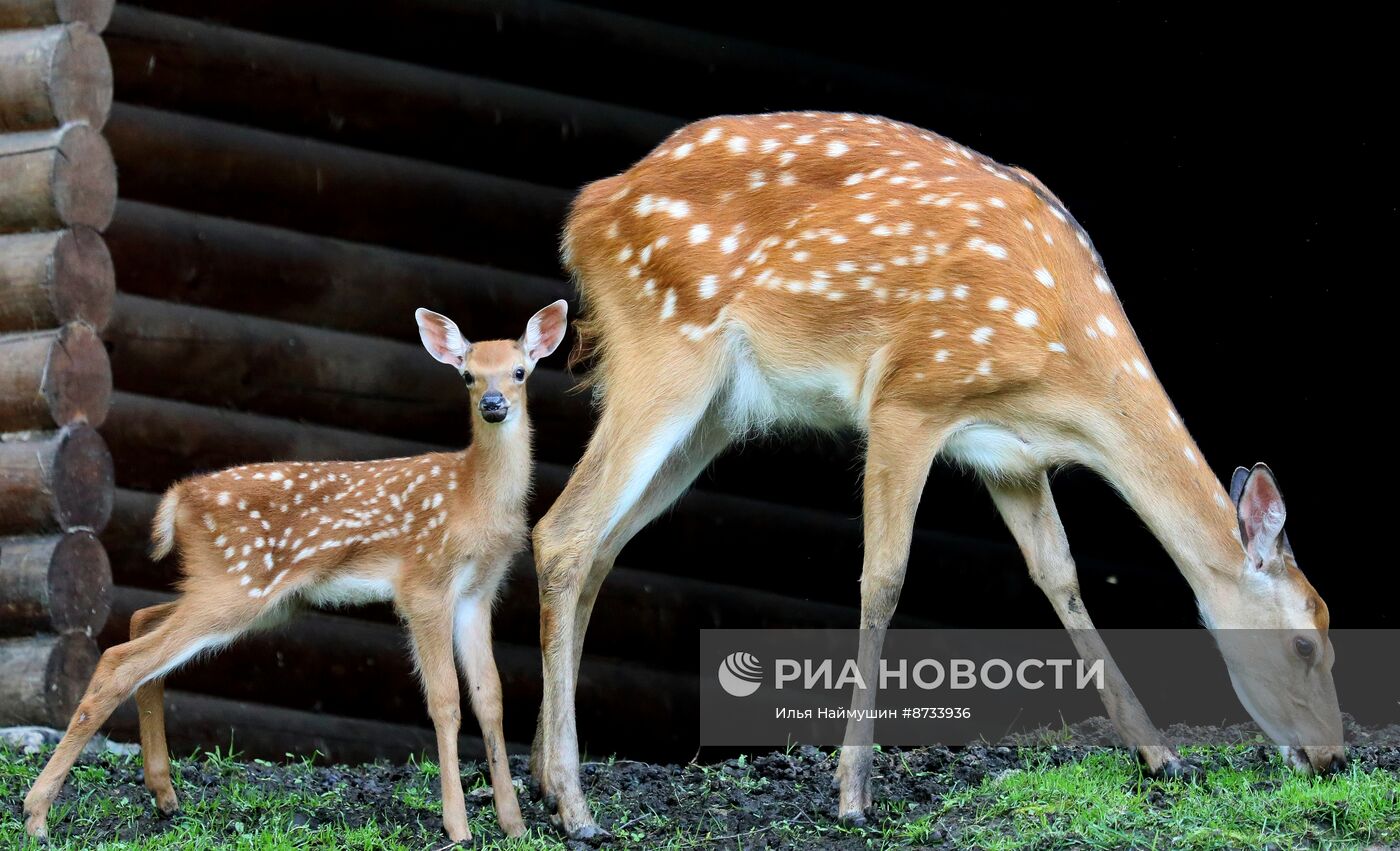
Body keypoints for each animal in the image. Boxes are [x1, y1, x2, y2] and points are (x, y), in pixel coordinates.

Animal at [21, 302, 571, 839]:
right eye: (467, 375)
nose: (493, 405)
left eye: (519, 371)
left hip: (248, 593)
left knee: (141, 625)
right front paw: (458, 827)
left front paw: (515, 824)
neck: (473, 498)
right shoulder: (424, 583)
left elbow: (491, 699)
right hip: (239, 581)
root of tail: (178, 499)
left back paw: (163, 794)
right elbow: (446, 701)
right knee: (121, 659)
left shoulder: (479, 592)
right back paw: (36, 814)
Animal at [532, 109, 1344, 834]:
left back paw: (544, 778)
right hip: (667, 345)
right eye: (1308, 642)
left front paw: (1161, 756)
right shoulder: (910, 397)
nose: (1333, 758)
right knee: (562, 532)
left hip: (715, 413)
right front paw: (852, 792)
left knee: (602, 544)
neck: (1065, 365)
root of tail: (588, 210)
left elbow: (1061, 576)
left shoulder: (1012, 456)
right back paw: (576, 807)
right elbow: (884, 579)